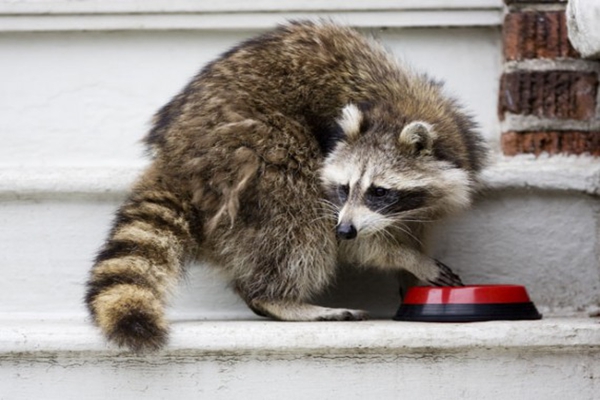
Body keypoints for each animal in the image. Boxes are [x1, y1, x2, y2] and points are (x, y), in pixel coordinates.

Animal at [84, 20, 488, 352]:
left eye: (379, 191)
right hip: (248, 156)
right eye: (344, 188)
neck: (395, 111)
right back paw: (278, 298)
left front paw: (409, 267)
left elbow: (413, 224)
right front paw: (404, 257)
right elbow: (354, 245)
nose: (345, 227)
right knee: (299, 217)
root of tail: (175, 155)